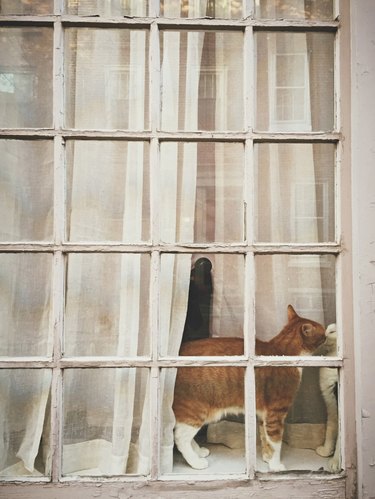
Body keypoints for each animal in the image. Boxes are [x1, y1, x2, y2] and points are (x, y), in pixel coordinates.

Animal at [173, 304, 326, 472]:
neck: (282, 350)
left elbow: (266, 439)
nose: (327, 335)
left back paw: (199, 452)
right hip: (196, 410)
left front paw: (267, 458)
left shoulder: (264, 414)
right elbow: (276, 443)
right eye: (323, 333)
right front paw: (275, 466)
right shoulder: (276, 413)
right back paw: (196, 462)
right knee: (179, 437)